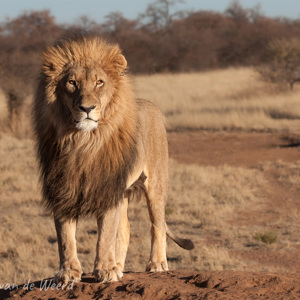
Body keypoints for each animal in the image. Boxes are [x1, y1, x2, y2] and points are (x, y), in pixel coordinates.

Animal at [32, 35, 192, 284]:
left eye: (99, 82)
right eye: (72, 83)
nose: (87, 108)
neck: (83, 142)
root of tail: (150, 104)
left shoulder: (108, 188)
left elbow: (106, 234)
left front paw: (105, 270)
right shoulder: (62, 188)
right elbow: (65, 237)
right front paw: (68, 273)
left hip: (156, 184)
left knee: (157, 224)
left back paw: (156, 263)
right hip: (123, 192)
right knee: (125, 230)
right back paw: (119, 266)